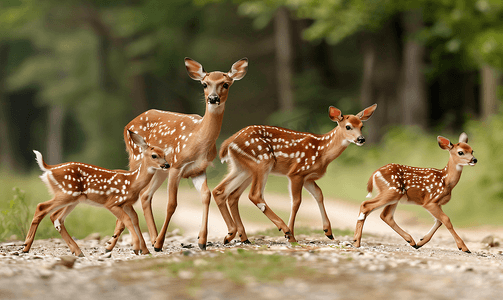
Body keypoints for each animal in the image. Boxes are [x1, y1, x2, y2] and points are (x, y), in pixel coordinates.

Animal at [23, 130, 170, 256]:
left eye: (164, 154)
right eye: (154, 155)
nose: (167, 165)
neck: (132, 182)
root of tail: (49, 169)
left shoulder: (127, 203)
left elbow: (134, 219)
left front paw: (145, 250)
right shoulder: (112, 202)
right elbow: (127, 220)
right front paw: (135, 247)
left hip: (73, 199)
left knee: (56, 217)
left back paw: (78, 251)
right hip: (66, 193)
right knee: (41, 207)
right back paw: (25, 247)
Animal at [105, 55, 250, 251]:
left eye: (226, 84)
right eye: (204, 84)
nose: (213, 98)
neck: (198, 140)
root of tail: (127, 125)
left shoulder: (198, 170)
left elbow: (206, 196)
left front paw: (203, 241)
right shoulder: (176, 164)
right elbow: (171, 204)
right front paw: (160, 244)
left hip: (158, 169)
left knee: (145, 195)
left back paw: (148, 239)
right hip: (137, 158)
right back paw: (117, 243)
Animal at [212, 104, 378, 245]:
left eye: (362, 126)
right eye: (348, 126)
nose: (361, 139)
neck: (322, 151)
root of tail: (229, 142)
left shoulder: (308, 177)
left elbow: (319, 194)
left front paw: (328, 232)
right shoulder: (296, 172)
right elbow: (296, 202)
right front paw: (291, 236)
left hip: (242, 168)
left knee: (224, 192)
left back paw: (235, 236)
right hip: (262, 162)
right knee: (254, 194)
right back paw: (283, 229)